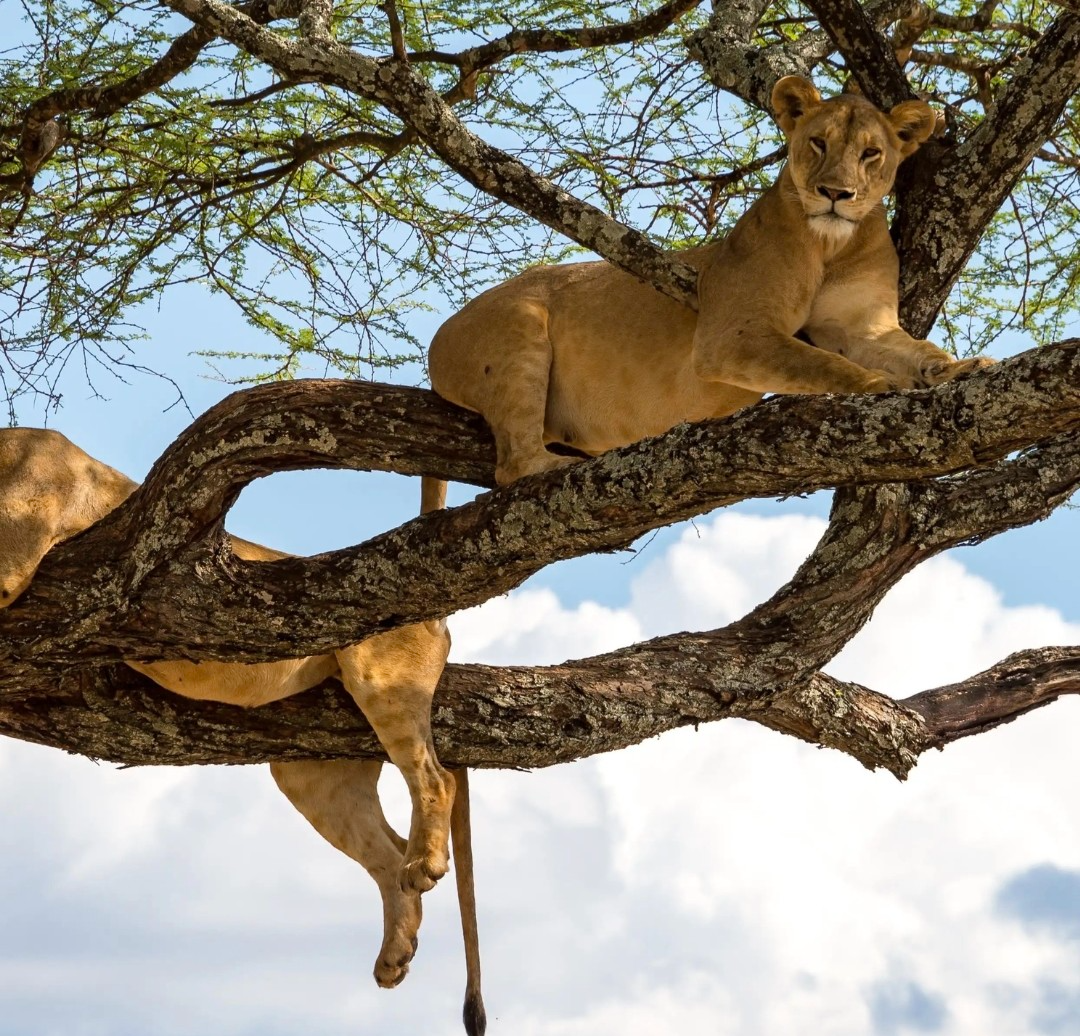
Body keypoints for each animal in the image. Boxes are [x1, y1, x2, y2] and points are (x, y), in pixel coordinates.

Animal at [0, 427, 485, 1036]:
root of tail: (436, 613)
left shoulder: (15, 558)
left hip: (383, 685)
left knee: (436, 780)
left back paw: (425, 868)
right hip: (314, 773)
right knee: (387, 850)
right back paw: (395, 953)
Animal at [429, 75, 993, 485]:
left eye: (871, 153)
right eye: (818, 142)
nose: (836, 193)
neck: (830, 244)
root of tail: (440, 334)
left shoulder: (863, 326)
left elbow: (917, 350)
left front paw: (962, 367)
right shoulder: (731, 336)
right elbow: (819, 360)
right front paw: (877, 385)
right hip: (518, 331)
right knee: (512, 466)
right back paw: (555, 466)